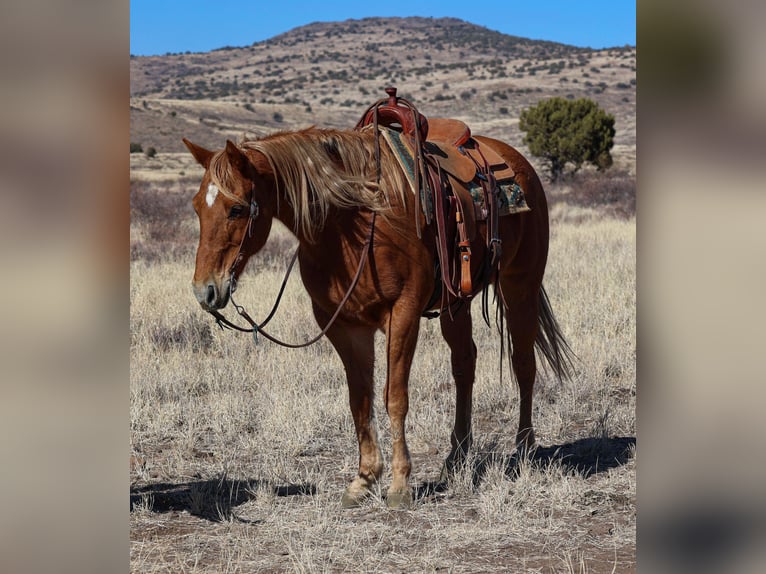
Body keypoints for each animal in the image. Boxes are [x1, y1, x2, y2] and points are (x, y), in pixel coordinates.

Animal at [183, 122, 572, 508]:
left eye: (236, 209)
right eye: (197, 208)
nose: (205, 291)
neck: (349, 226)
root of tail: (519, 162)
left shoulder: (403, 315)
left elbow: (394, 397)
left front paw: (400, 485)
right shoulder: (343, 325)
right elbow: (360, 400)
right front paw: (364, 478)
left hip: (520, 285)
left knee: (524, 363)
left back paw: (523, 449)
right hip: (455, 305)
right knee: (464, 364)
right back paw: (456, 457)